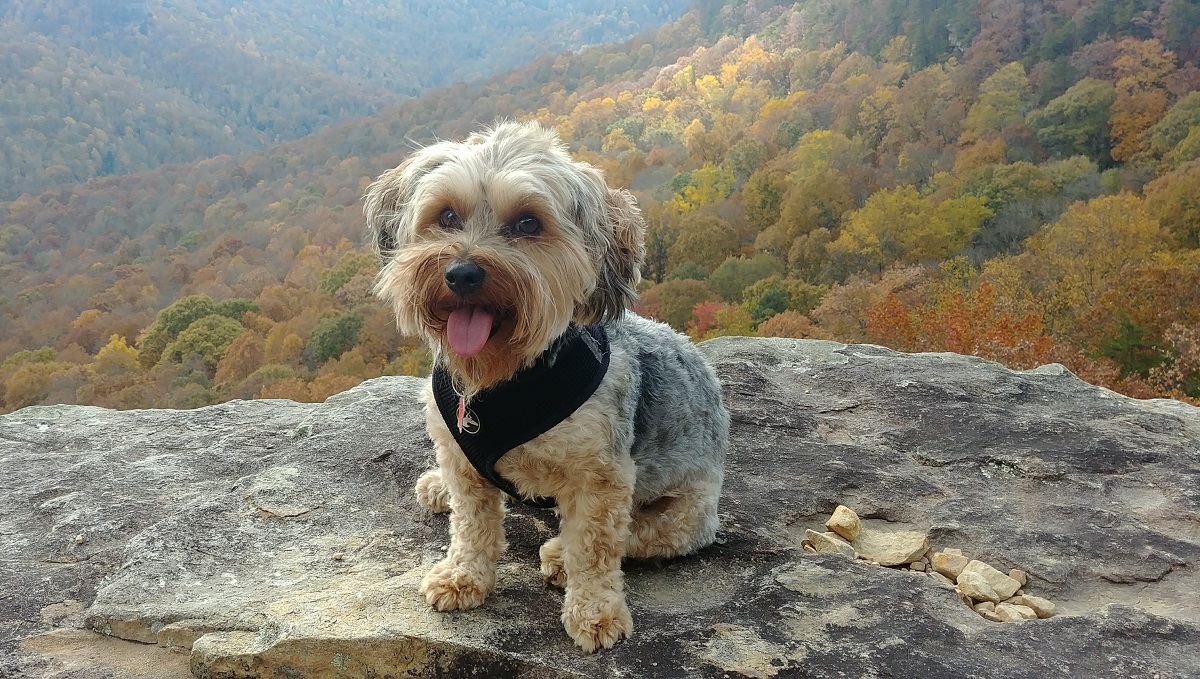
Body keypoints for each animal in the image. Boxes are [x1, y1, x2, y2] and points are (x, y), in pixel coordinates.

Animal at [360, 122, 724, 652]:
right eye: (446, 215)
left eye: (529, 223)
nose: (461, 273)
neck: (506, 379)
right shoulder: (459, 455)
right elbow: (472, 523)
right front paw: (464, 576)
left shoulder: (601, 477)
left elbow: (594, 547)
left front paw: (595, 611)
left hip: (690, 513)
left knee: (636, 534)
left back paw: (556, 555)